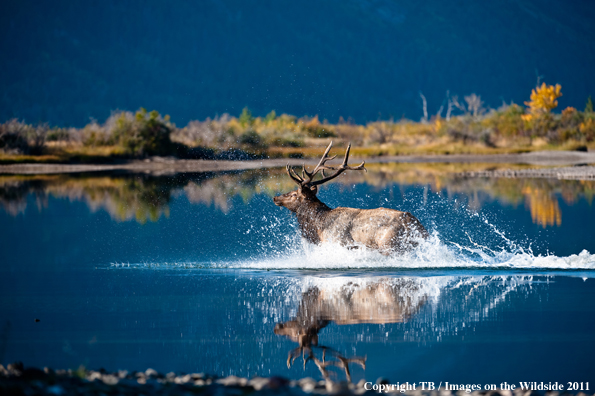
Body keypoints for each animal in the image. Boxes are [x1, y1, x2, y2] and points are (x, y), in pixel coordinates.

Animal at [274, 142, 428, 254]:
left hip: (389, 244)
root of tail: (418, 227)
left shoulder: (340, 243)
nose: (276, 198)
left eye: (294, 194)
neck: (319, 227)